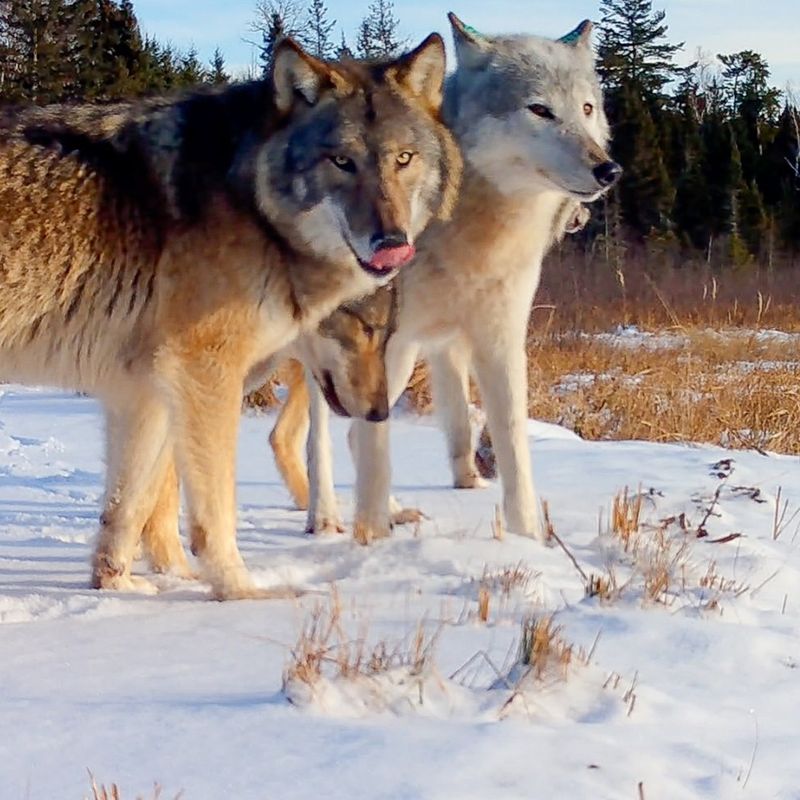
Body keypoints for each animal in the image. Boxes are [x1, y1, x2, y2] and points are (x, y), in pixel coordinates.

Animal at [0, 36, 462, 600]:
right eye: (342, 161)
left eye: (403, 159)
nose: (391, 243)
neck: (252, 204)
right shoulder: (203, 373)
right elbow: (213, 510)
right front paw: (241, 593)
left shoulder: (142, 392)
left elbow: (127, 508)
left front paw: (118, 586)